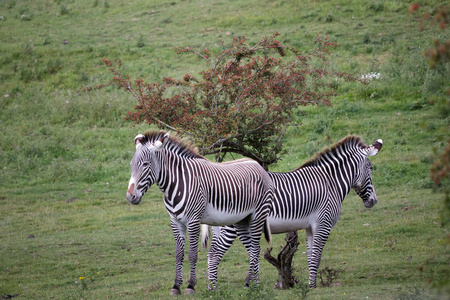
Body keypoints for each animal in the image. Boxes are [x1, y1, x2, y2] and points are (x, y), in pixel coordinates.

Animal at [126, 131, 274, 296]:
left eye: (145, 164)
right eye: (131, 165)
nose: (130, 197)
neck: (176, 184)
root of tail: (257, 164)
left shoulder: (194, 220)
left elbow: (192, 253)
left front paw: (191, 285)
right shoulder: (175, 221)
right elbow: (179, 254)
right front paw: (176, 286)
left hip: (257, 216)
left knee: (256, 248)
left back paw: (254, 284)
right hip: (242, 220)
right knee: (252, 249)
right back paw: (251, 284)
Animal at [204, 136, 384, 288]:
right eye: (371, 168)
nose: (374, 201)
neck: (330, 182)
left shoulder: (310, 227)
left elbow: (311, 256)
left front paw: (311, 285)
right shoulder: (324, 224)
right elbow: (317, 255)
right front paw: (313, 286)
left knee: (216, 253)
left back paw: (215, 287)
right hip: (230, 225)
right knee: (214, 254)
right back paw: (215, 290)